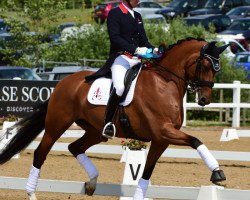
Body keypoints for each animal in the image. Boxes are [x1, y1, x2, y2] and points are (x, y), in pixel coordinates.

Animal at [0, 38, 229, 200]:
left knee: (75, 147)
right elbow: (196, 140)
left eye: (217, 69)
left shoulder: (161, 139)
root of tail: (64, 82)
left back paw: (92, 183)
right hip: (57, 124)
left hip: (95, 131)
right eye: (204, 66)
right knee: (41, 152)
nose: (205, 99)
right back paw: (31, 193)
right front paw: (217, 173)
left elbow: (146, 172)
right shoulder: (164, 131)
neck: (165, 83)